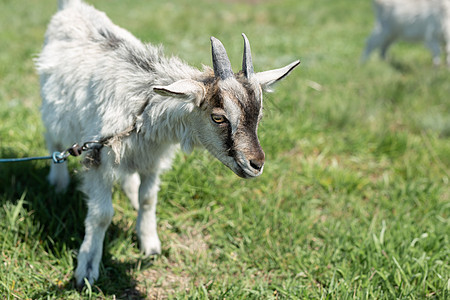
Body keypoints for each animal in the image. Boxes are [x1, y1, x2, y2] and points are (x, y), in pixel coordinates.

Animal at [36, 0, 298, 286]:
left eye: (258, 116)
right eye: (218, 117)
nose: (256, 164)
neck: (141, 109)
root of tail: (71, 6)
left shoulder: (152, 158)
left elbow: (149, 199)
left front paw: (150, 244)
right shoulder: (98, 156)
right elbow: (102, 214)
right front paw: (87, 269)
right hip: (53, 111)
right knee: (52, 140)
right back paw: (58, 183)